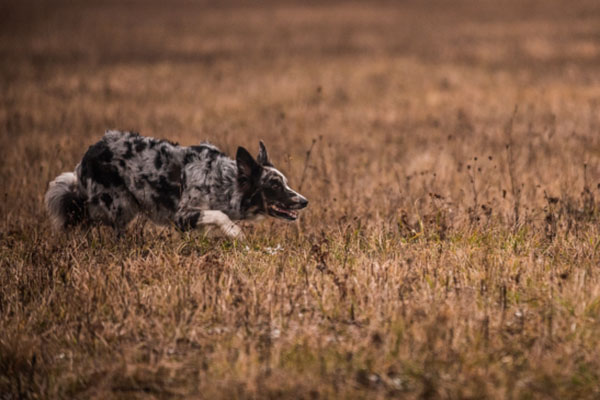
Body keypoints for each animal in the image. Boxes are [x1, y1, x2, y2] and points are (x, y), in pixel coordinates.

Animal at [45, 130, 310, 239]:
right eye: (274, 185)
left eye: (284, 182)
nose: (305, 201)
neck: (224, 183)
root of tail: (89, 153)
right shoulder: (182, 215)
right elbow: (220, 216)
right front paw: (235, 232)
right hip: (118, 204)